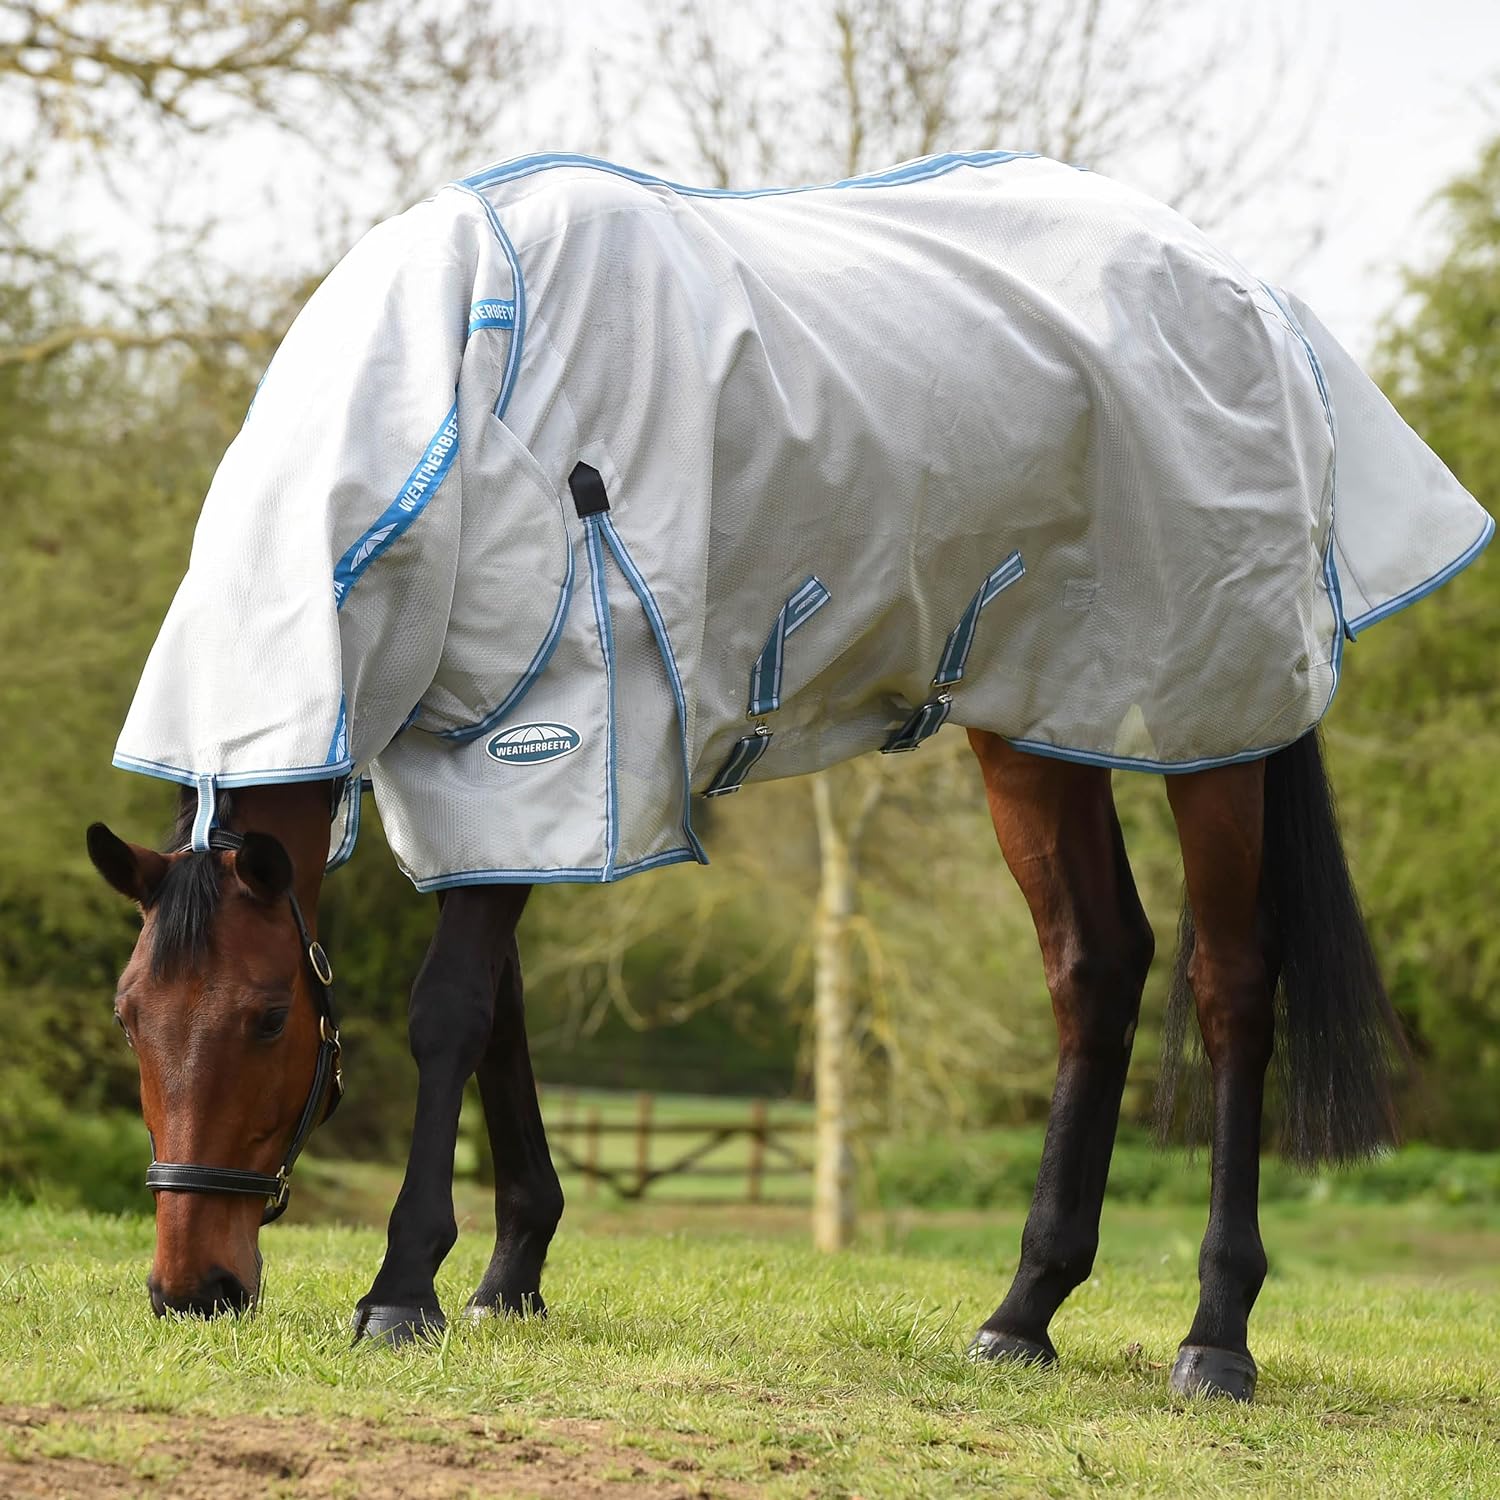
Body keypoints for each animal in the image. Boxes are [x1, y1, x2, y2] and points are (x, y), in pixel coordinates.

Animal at [87, 149, 1490, 1404]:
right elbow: (499, 1016)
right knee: (1096, 965)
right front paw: (508, 1273)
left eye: (270, 1018)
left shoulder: (548, 736)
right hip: (1038, 717)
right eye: (130, 1016)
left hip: (1215, 719)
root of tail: (1248, 295)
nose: (192, 1288)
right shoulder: (485, 773)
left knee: (1232, 984)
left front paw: (401, 1290)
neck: (461, 397)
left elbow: (450, 1014)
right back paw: (1023, 1313)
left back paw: (1216, 1338)